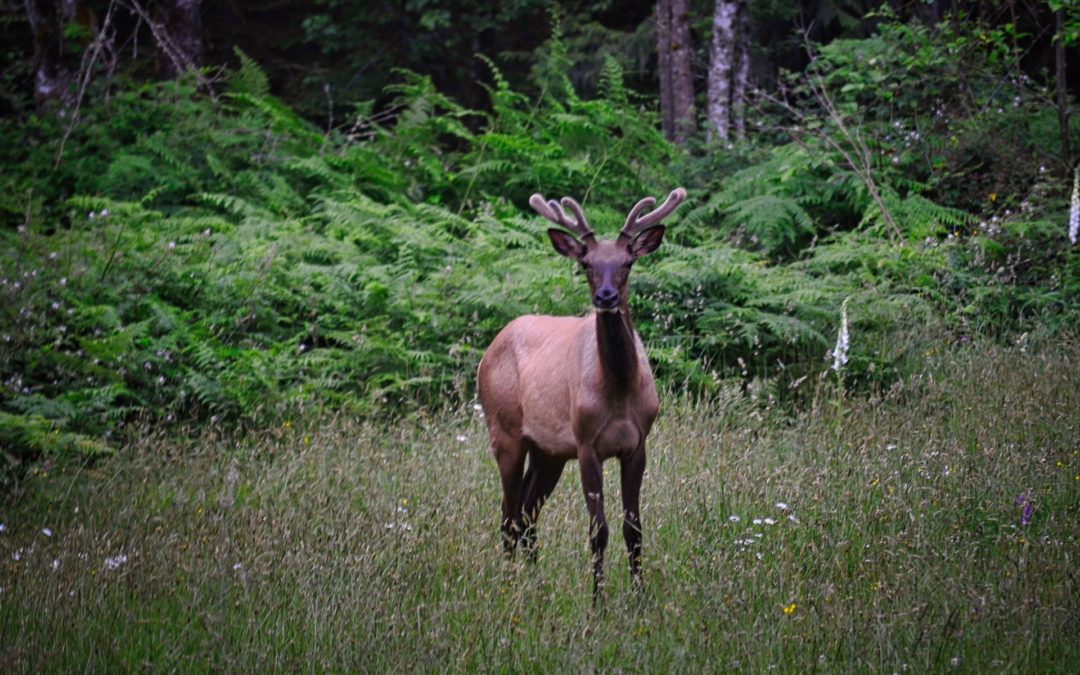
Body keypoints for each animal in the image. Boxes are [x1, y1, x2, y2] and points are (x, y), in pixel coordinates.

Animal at [477, 185, 686, 596]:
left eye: (628, 262)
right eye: (586, 263)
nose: (605, 297)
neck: (619, 390)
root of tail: (490, 349)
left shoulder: (638, 444)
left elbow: (633, 527)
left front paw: (640, 596)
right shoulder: (588, 443)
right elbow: (598, 530)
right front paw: (598, 600)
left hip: (549, 451)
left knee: (527, 513)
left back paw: (536, 583)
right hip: (504, 431)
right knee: (508, 516)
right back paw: (509, 585)